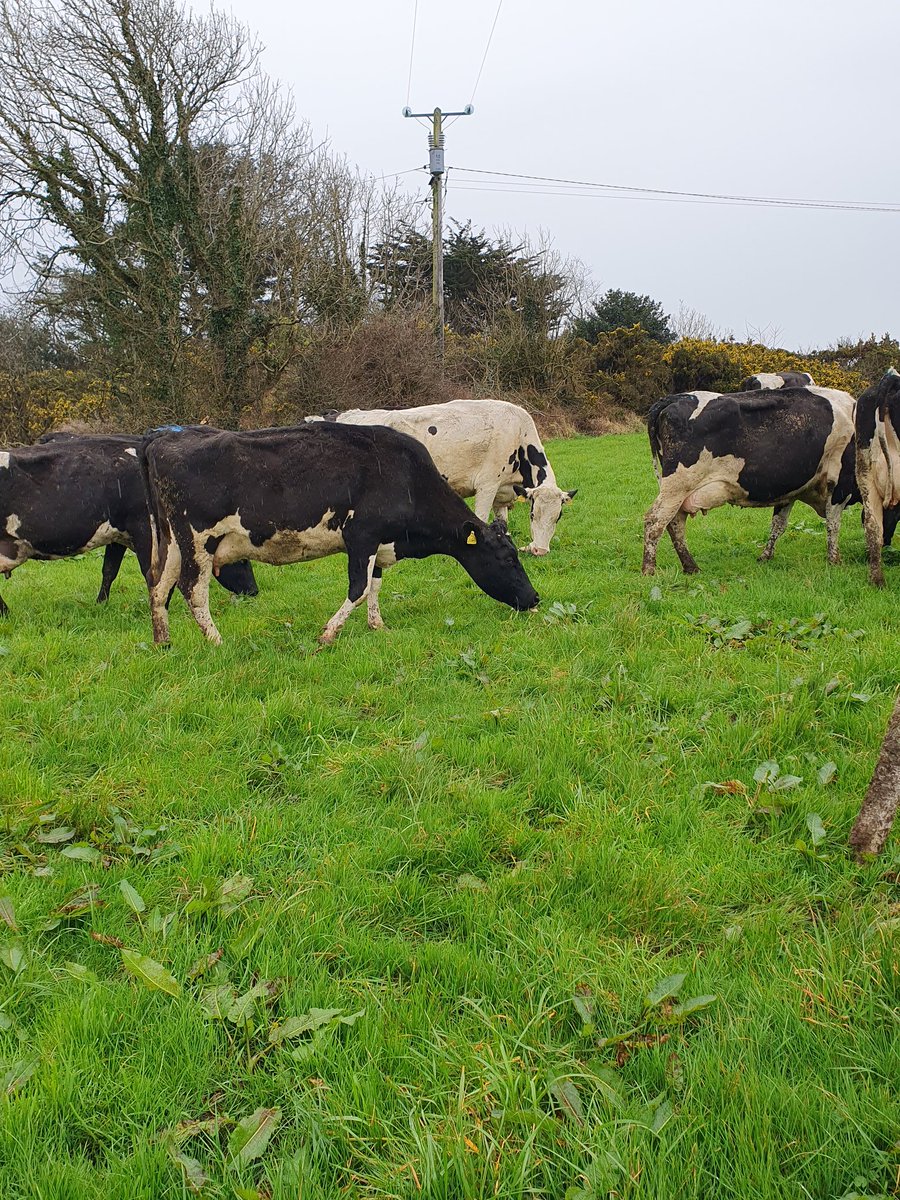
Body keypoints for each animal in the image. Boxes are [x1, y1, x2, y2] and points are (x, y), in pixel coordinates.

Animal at [0, 433, 257, 617]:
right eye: (242, 558)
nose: (254, 590)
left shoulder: (118, 536)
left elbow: (109, 570)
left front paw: (100, 604)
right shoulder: (144, 531)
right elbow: (153, 572)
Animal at [140, 422, 540, 646]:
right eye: (508, 559)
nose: (535, 597)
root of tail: (161, 439)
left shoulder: (380, 543)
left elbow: (375, 585)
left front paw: (378, 626)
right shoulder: (361, 537)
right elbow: (358, 590)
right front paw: (328, 634)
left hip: (173, 542)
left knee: (159, 586)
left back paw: (163, 641)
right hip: (198, 540)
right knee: (192, 589)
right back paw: (216, 641)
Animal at [308, 398, 576, 555]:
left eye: (558, 517)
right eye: (532, 514)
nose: (540, 551)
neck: (518, 434)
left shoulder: (503, 493)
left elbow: (503, 522)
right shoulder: (487, 484)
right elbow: (480, 518)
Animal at [642, 385, 855, 575]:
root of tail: (675, 398)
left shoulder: (788, 490)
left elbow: (778, 525)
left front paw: (765, 556)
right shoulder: (839, 486)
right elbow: (833, 523)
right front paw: (835, 560)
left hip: (679, 491)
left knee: (675, 521)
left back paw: (691, 567)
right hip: (678, 485)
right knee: (655, 520)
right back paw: (649, 570)